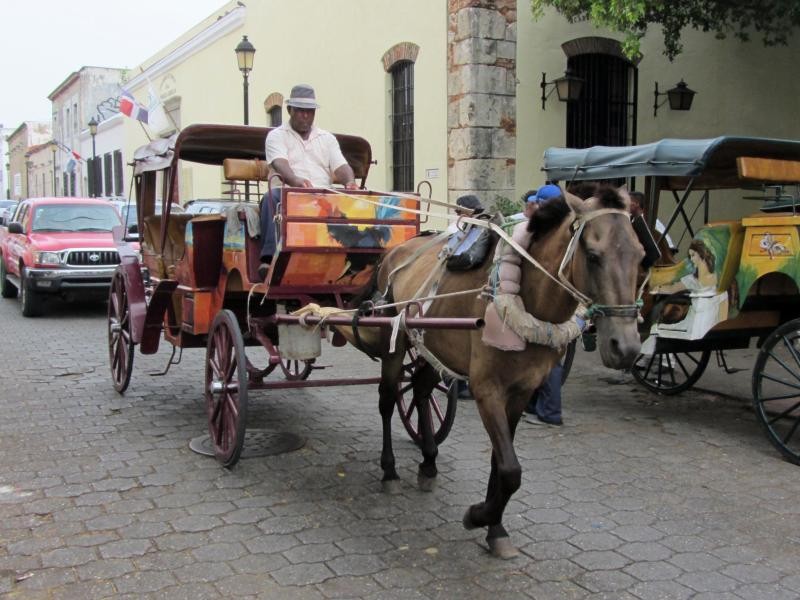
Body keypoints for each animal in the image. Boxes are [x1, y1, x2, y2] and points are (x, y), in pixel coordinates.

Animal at [338, 186, 644, 556]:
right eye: (594, 255)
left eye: (642, 255)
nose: (625, 347)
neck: (526, 297)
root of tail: (395, 252)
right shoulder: (487, 391)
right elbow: (511, 469)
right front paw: (479, 515)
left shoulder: (521, 391)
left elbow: (501, 464)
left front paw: (495, 527)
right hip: (395, 339)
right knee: (386, 400)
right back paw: (390, 471)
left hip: (434, 344)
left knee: (422, 390)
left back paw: (428, 462)